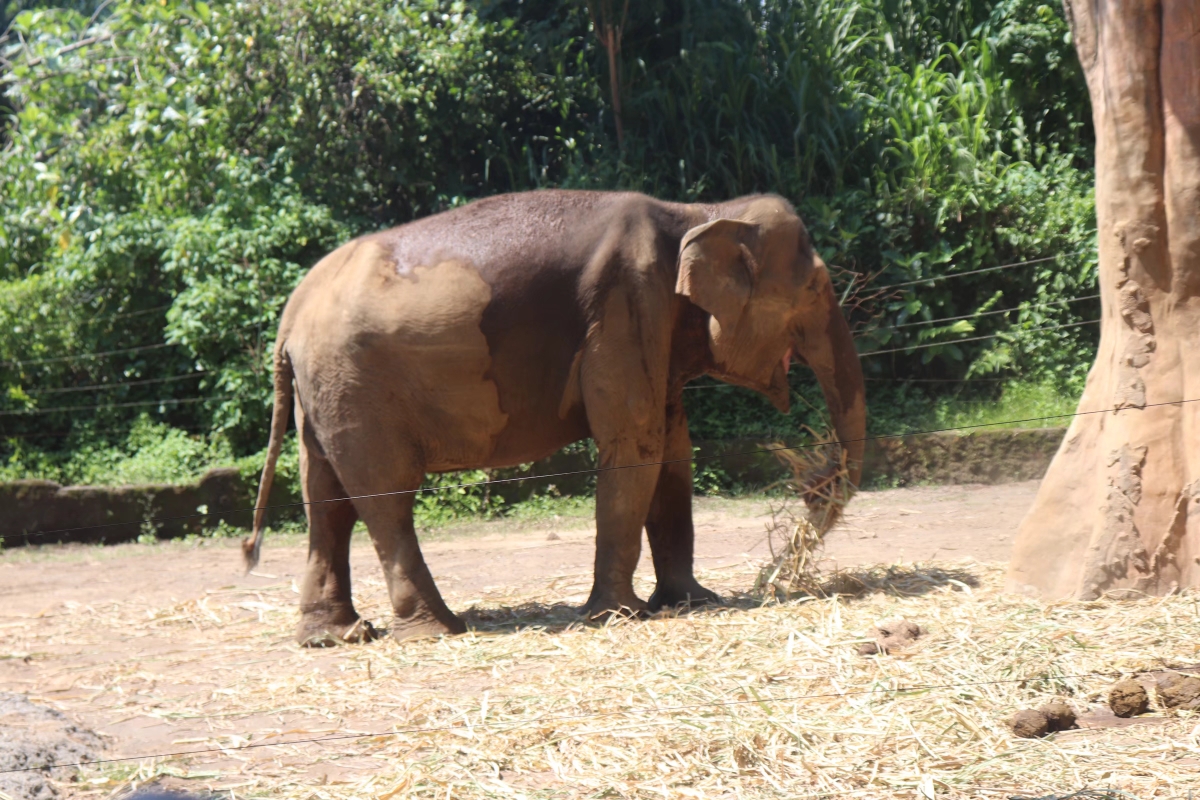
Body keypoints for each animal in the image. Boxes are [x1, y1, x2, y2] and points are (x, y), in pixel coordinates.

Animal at [243, 191, 864, 642]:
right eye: (815, 286)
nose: (812, 494)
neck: (698, 211)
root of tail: (290, 314)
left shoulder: (653, 329)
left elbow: (672, 450)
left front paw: (691, 602)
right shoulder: (626, 307)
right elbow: (636, 445)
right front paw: (619, 616)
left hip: (324, 395)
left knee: (326, 501)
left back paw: (336, 637)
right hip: (357, 388)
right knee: (385, 498)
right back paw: (439, 630)